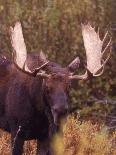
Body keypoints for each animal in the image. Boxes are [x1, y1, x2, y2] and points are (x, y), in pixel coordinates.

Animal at [0, 22, 111, 155]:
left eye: (69, 86)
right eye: (47, 86)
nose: (61, 112)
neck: (40, 114)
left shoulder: (46, 136)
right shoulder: (16, 131)